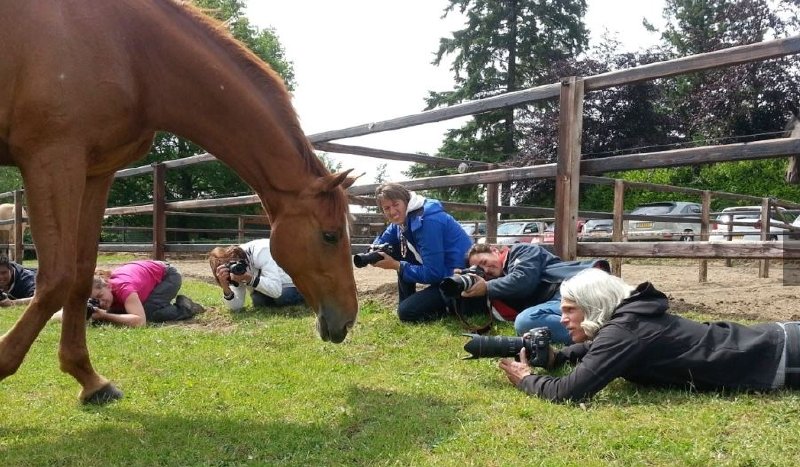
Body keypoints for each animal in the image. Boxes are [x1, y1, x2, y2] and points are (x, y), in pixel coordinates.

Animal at [0, 0, 358, 406]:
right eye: (330, 235)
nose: (348, 319)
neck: (128, 50)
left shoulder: (95, 171)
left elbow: (79, 275)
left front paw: (90, 380)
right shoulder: (52, 157)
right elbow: (57, 278)